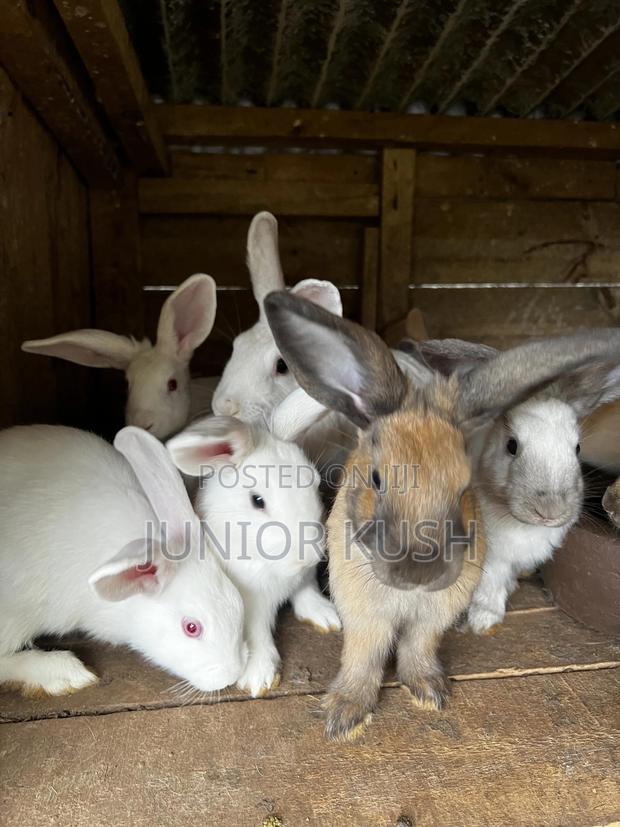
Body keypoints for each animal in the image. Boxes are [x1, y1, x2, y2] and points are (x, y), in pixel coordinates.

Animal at [166, 387, 341, 698]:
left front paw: (325, 616)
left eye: (314, 480)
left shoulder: (304, 578)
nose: (307, 556)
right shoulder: (249, 601)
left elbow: (306, 593)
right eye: (257, 501)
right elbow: (257, 633)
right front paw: (258, 677)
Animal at [413, 338, 620, 634]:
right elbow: (488, 584)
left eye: (577, 447)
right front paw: (482, 621)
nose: (550, 511)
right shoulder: (490, 557)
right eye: (511, 445)